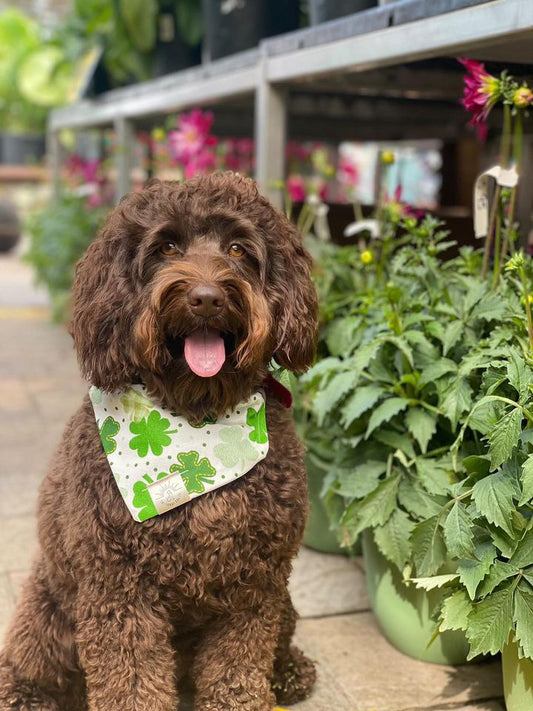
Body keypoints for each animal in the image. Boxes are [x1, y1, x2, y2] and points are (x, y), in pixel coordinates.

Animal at [0, 174, 316, 711]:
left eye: (238, 248)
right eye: (166, 247)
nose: (207, 297)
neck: (197, 424)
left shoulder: (255, 584)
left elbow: (237, 668)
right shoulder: (118, 589)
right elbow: (131, 679)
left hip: (285, 599)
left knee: (281, 637)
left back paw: (289, 672)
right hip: (49, 610)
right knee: (29, 662)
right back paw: (25, 694)